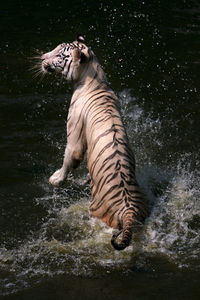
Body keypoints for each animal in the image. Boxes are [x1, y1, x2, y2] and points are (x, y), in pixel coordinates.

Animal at [39, 35, 148, 251]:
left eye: (59, 54)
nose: (42, 58)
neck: (94, 77)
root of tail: (129, 211)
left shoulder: (74, 131)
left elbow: (69, 158)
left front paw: (55, 179)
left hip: (99, 211)